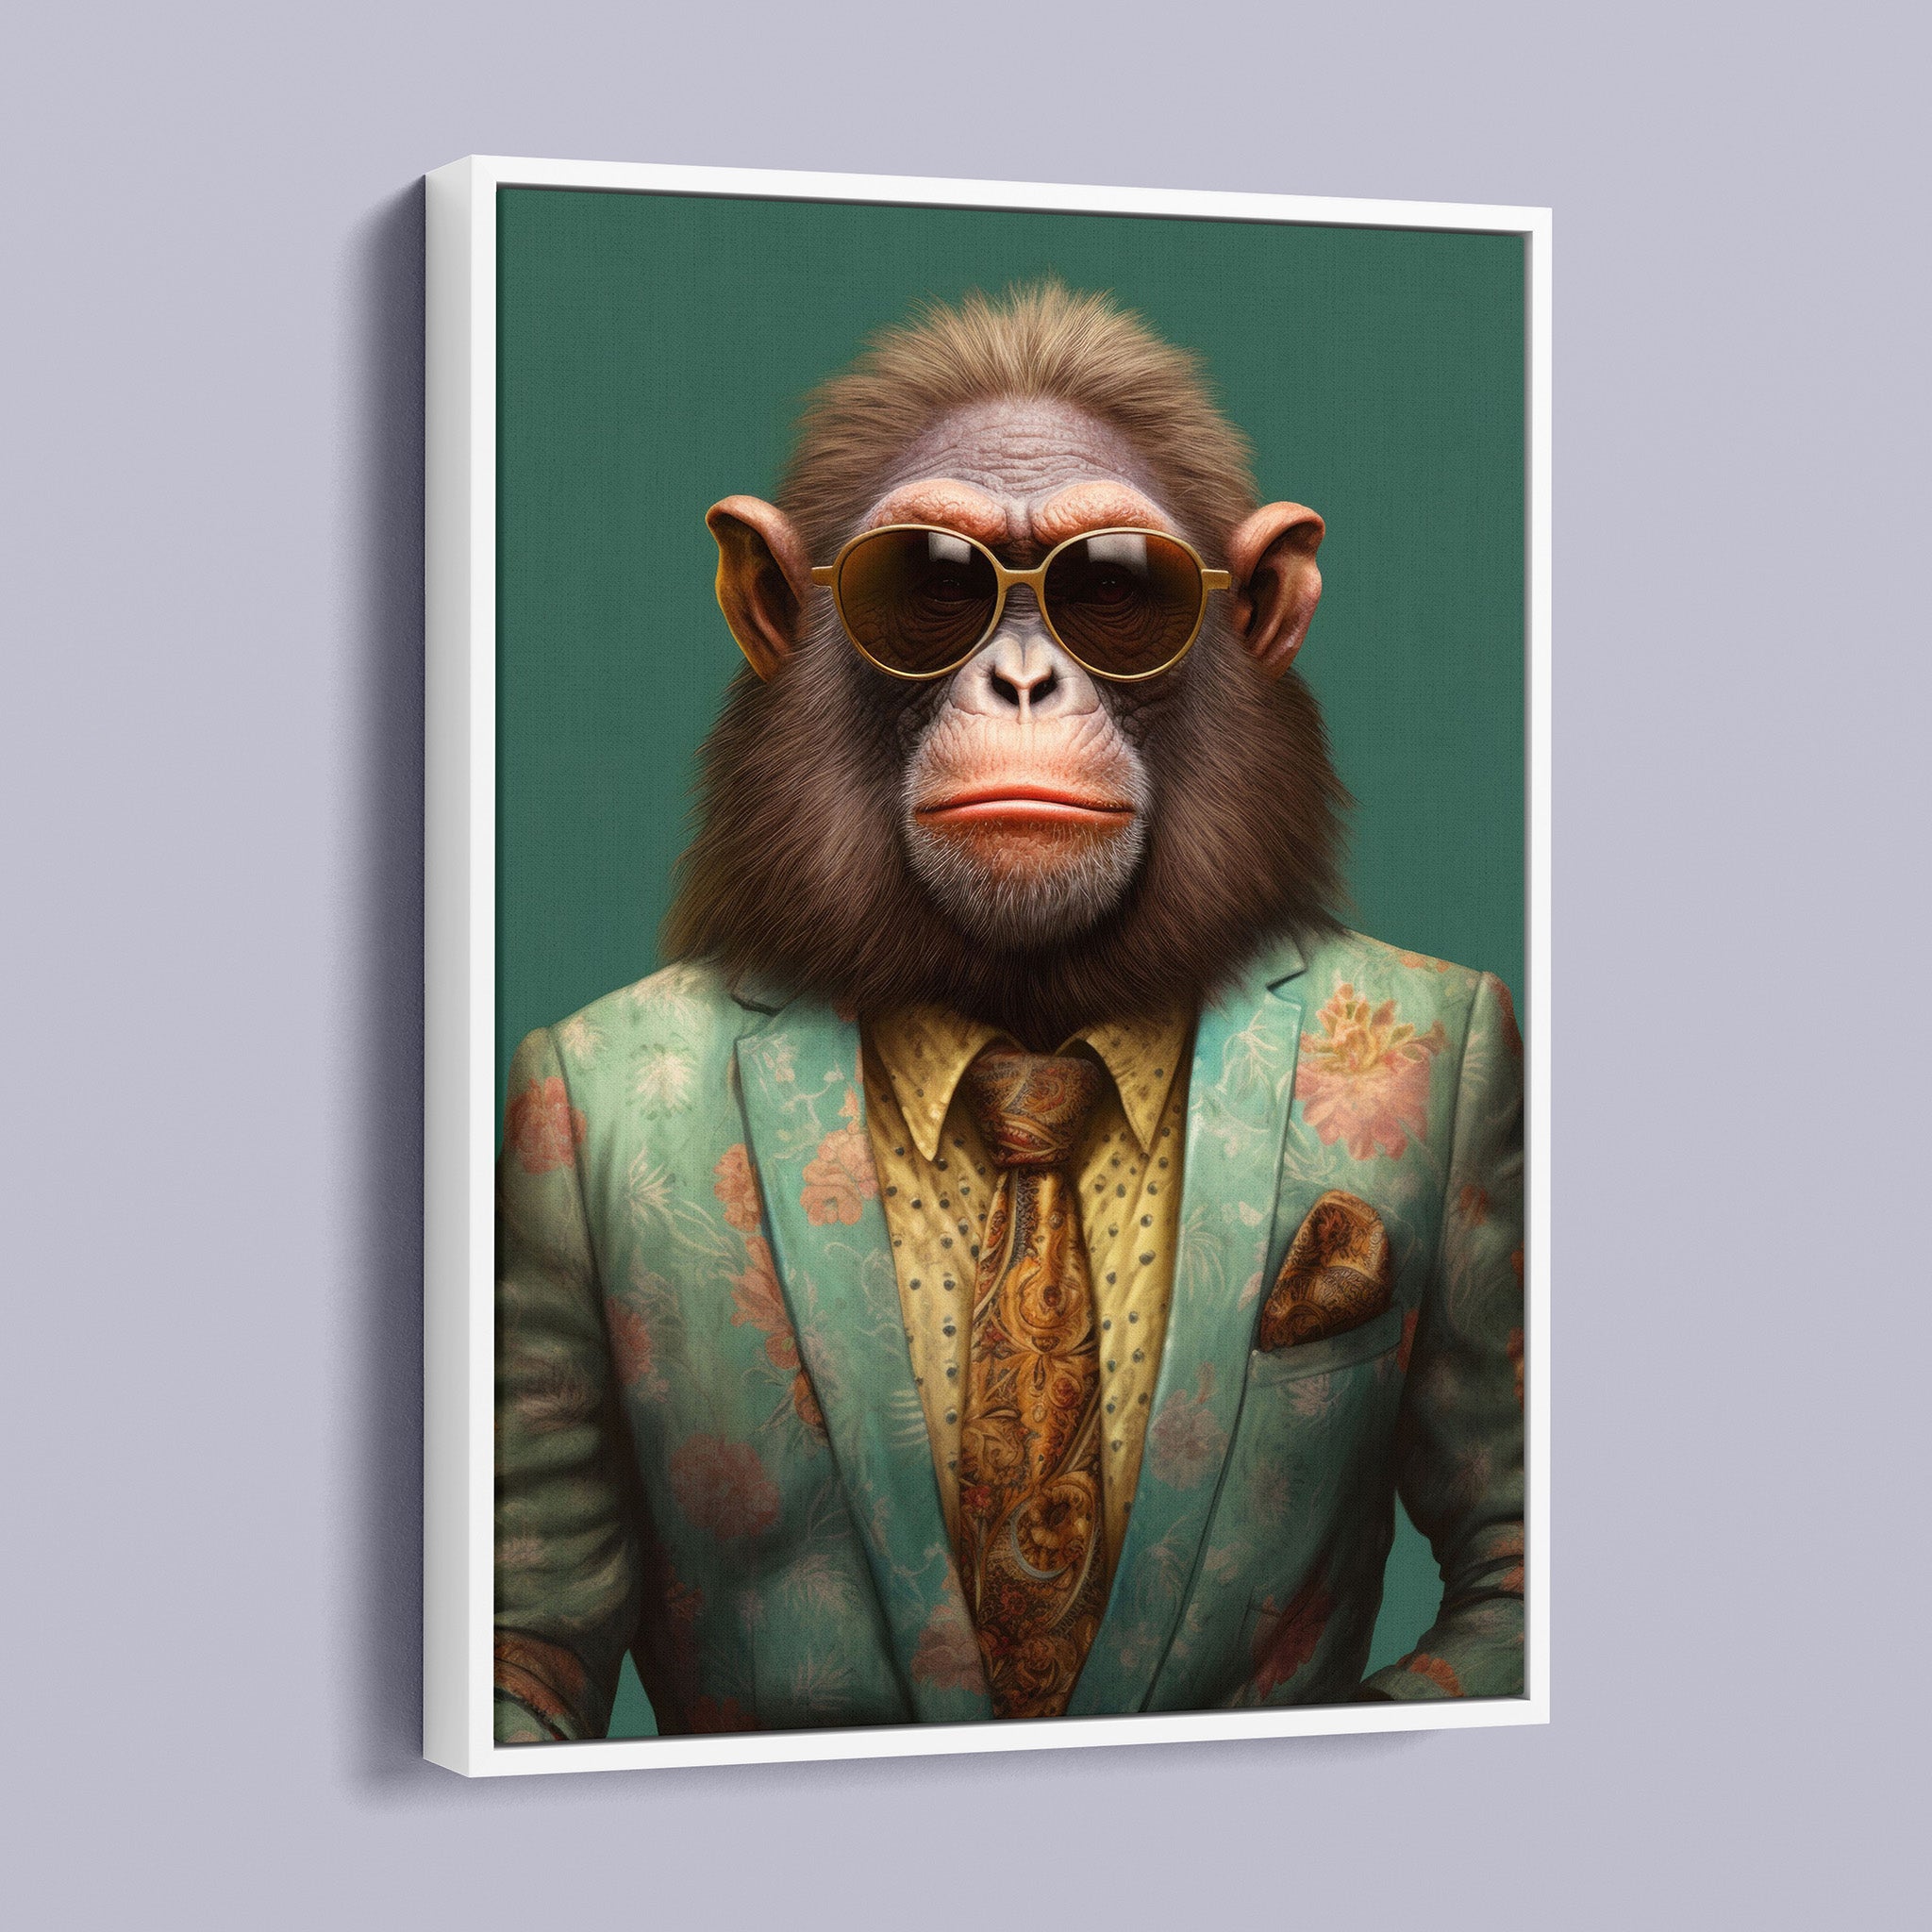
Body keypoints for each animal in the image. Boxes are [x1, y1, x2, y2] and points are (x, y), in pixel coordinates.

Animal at [493, 283, 1525, 1741]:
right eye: (934, 584)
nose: (1025, 680)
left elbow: (1503, 1538)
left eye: (1115, 586)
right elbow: (531, 1620)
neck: (1030, 1018)